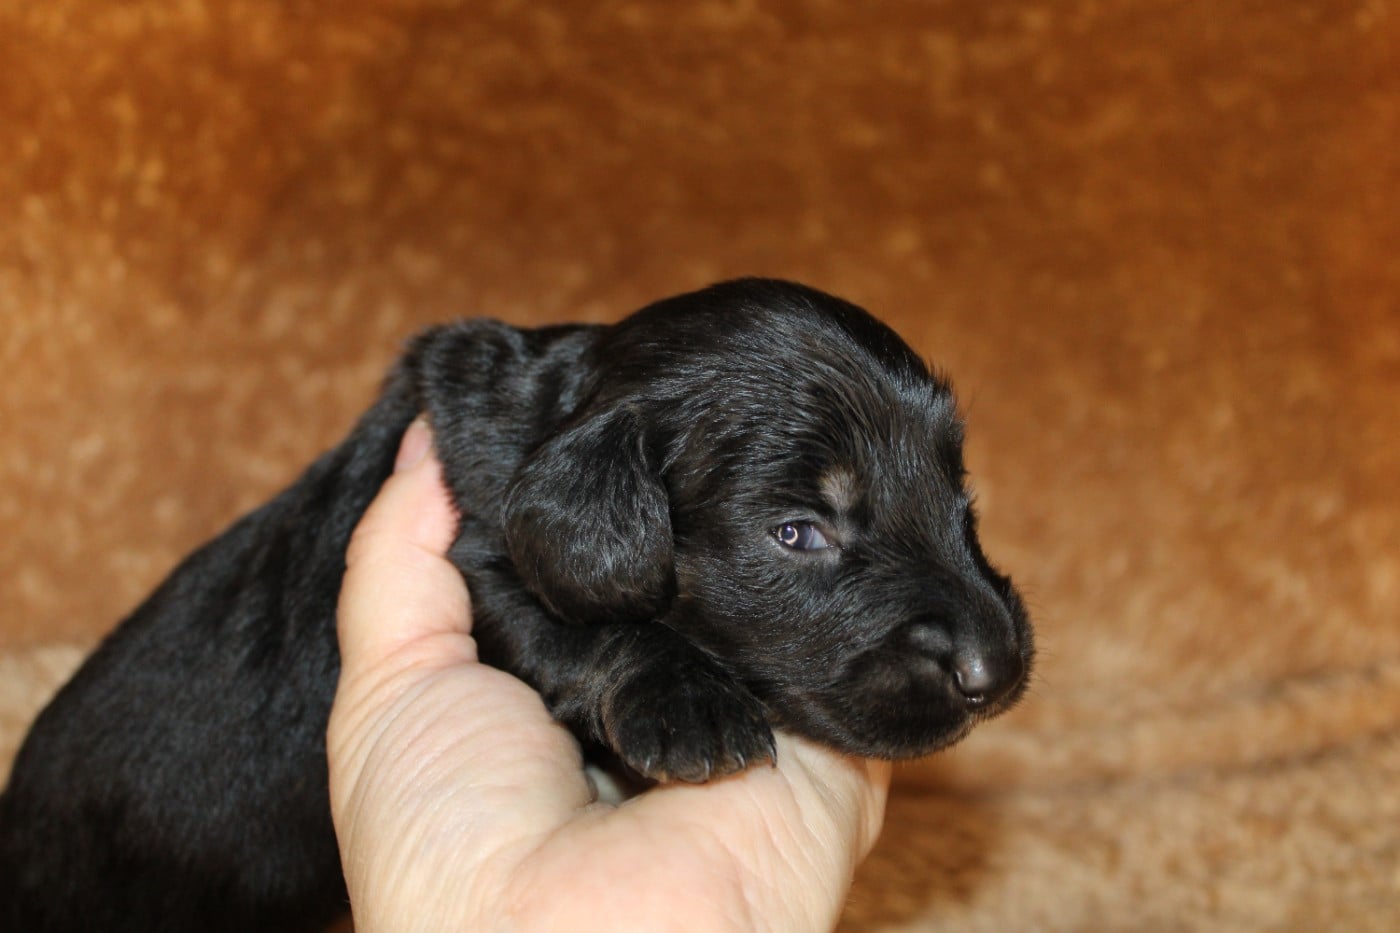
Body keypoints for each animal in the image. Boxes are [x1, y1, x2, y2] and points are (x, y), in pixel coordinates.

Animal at [0, 278, 1033, 931]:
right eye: (798, 532)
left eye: (961, 492)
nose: (998, 668)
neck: (549, 420)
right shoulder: (473, 558)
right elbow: (578, 629)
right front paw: (687, 702)